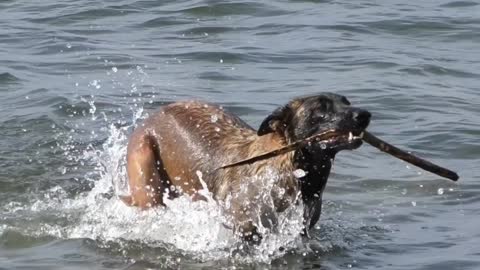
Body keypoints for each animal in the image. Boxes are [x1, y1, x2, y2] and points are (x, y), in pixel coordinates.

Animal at [120, 93, 372, 243]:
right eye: (321, 109)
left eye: (346, 102)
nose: (365, 114)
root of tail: (151, 118)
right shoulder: (245, 230)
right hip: (148, 186)